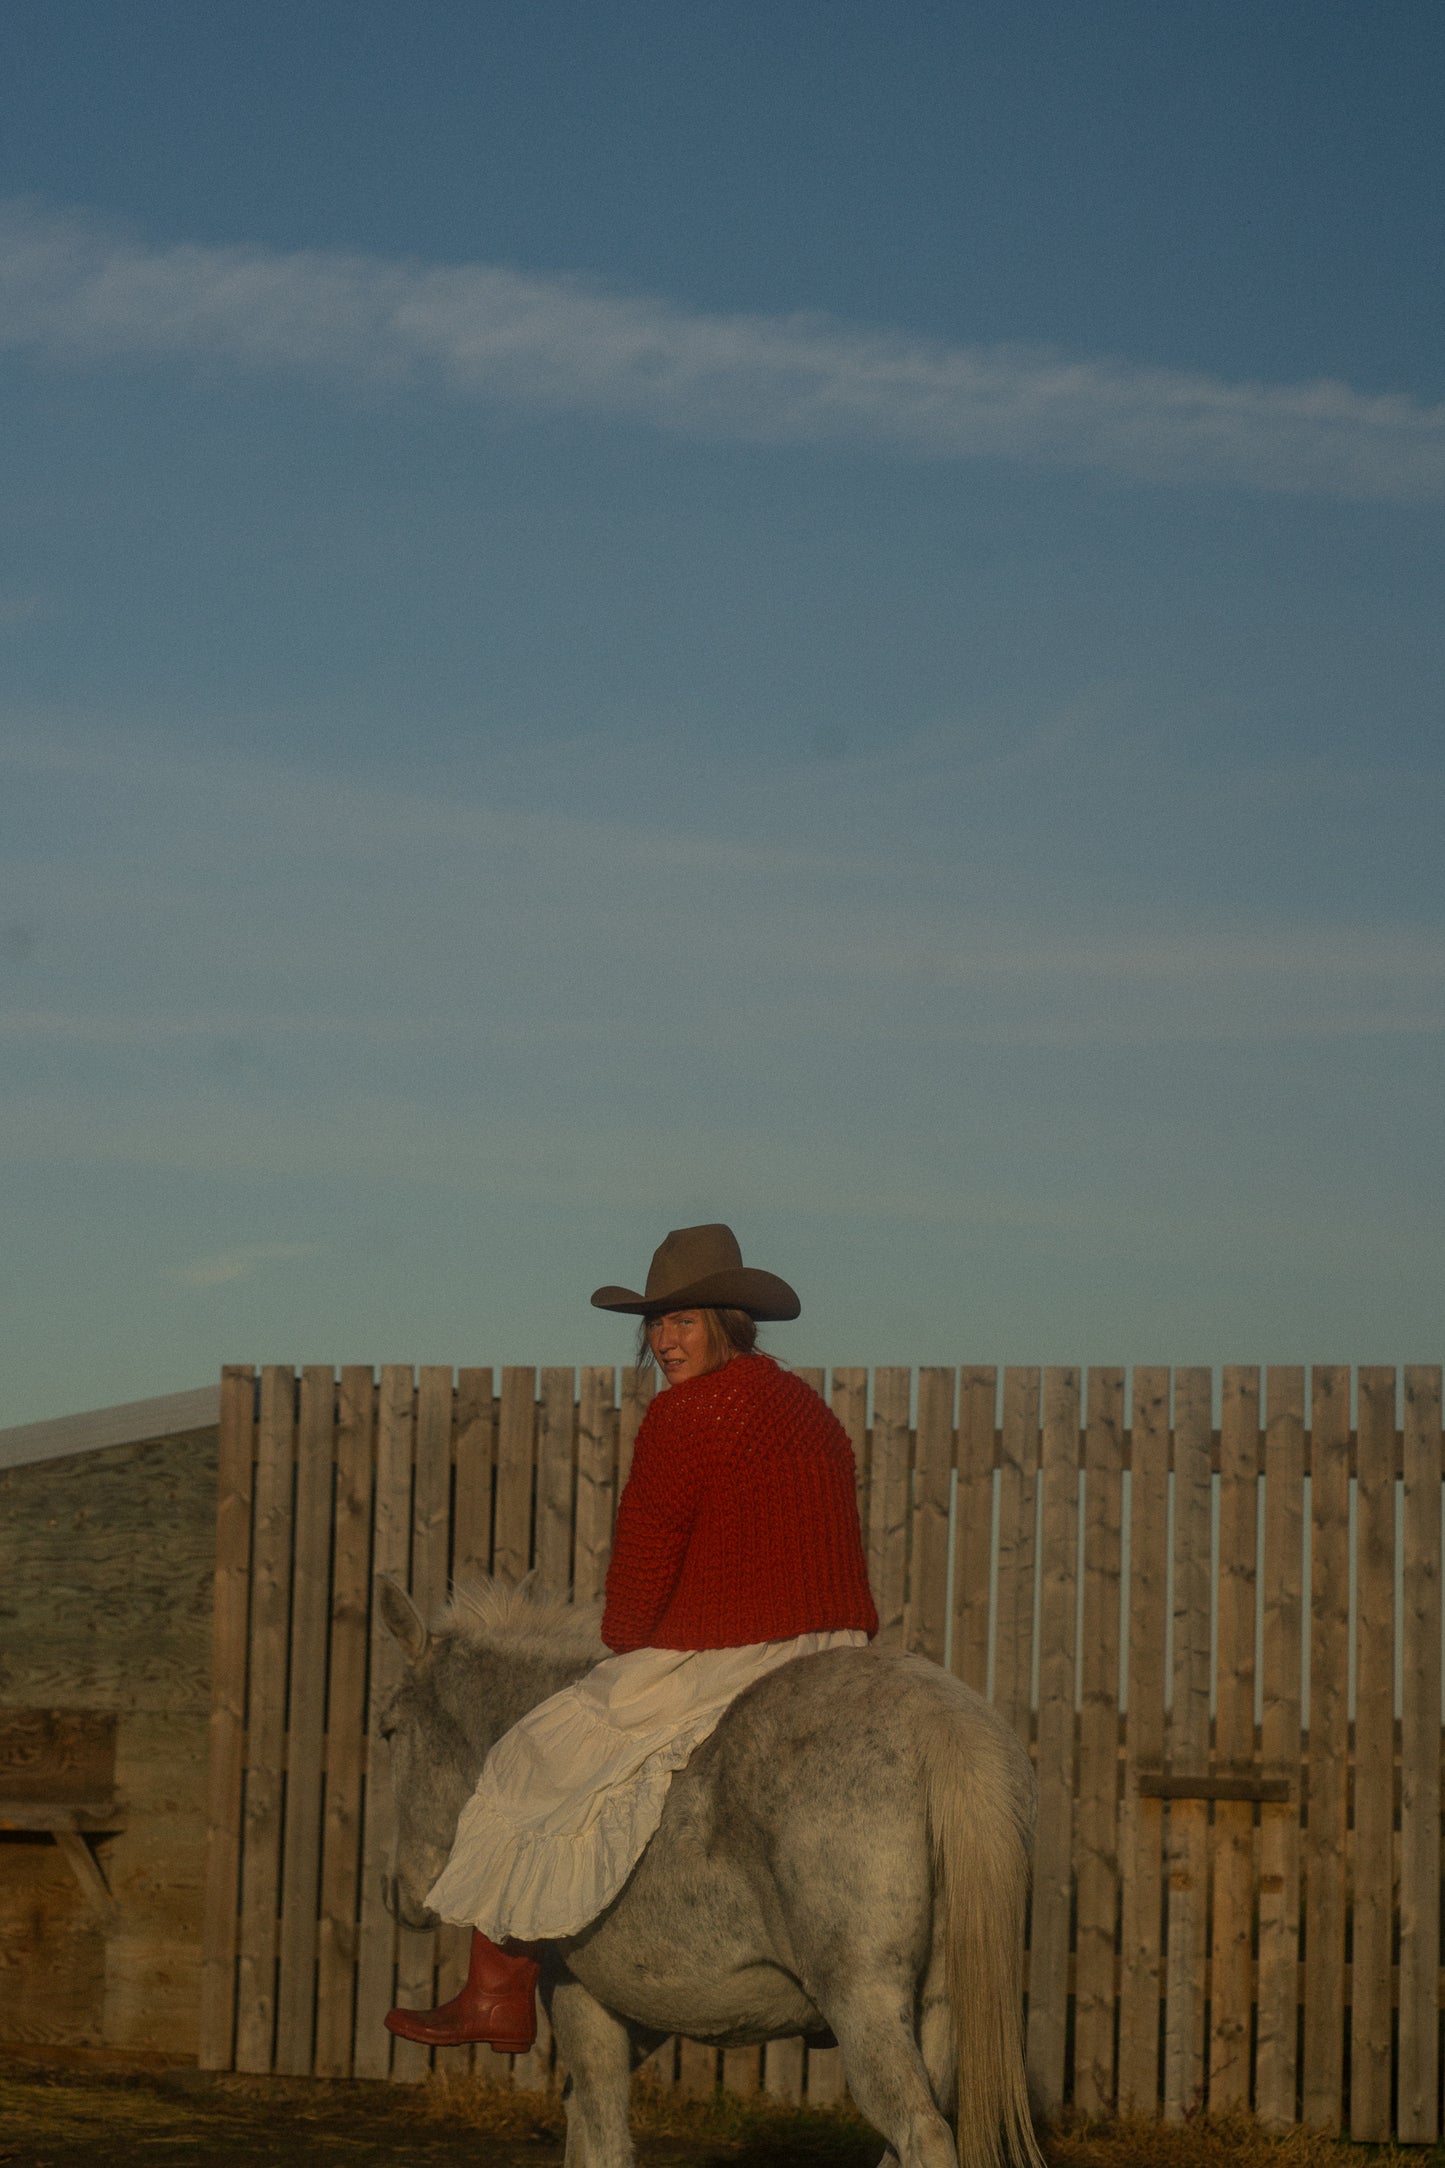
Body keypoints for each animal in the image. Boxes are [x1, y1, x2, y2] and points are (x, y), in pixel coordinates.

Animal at [379, 1578, 1044, 2168]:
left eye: (387, 1730)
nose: (398, 1898)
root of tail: (942, 1718)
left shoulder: (579, 1998)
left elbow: (601, 2135)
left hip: (865, 2001)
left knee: (920, 2133)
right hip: (939, 2007)